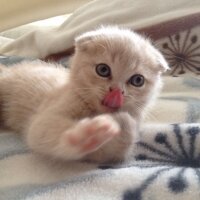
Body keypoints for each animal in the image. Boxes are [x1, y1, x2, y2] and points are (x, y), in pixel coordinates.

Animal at [0, 26, 169, 163]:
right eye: (103, 70)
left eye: (137, 80)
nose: (116, 91)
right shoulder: (45, 118)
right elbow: (43, 132)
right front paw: (87, 134)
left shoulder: (108, 154)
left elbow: (118, 146)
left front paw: (121, 125)